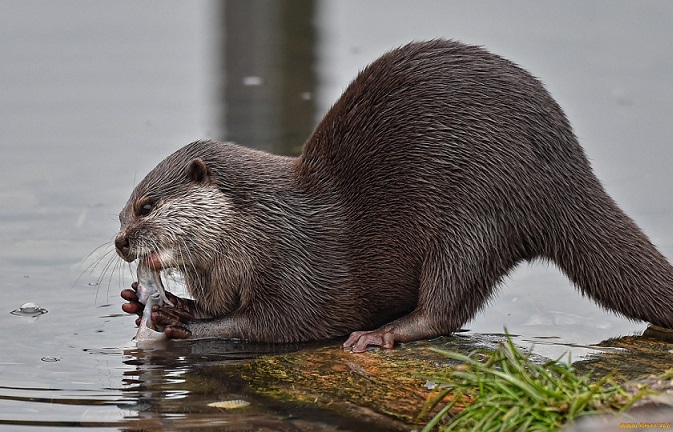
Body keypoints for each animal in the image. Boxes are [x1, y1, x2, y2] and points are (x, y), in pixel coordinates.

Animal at [117, 38, 672, 352]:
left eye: (148, 206)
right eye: (122, 212)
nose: (122, 242)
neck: (258, 230)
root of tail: (569, 167)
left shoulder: (296, 267)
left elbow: (270, 324)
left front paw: (179, 324)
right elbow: (219, 307)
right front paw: (153, 303)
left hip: (478, 215)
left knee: (447, 308)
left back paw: (383, 334)